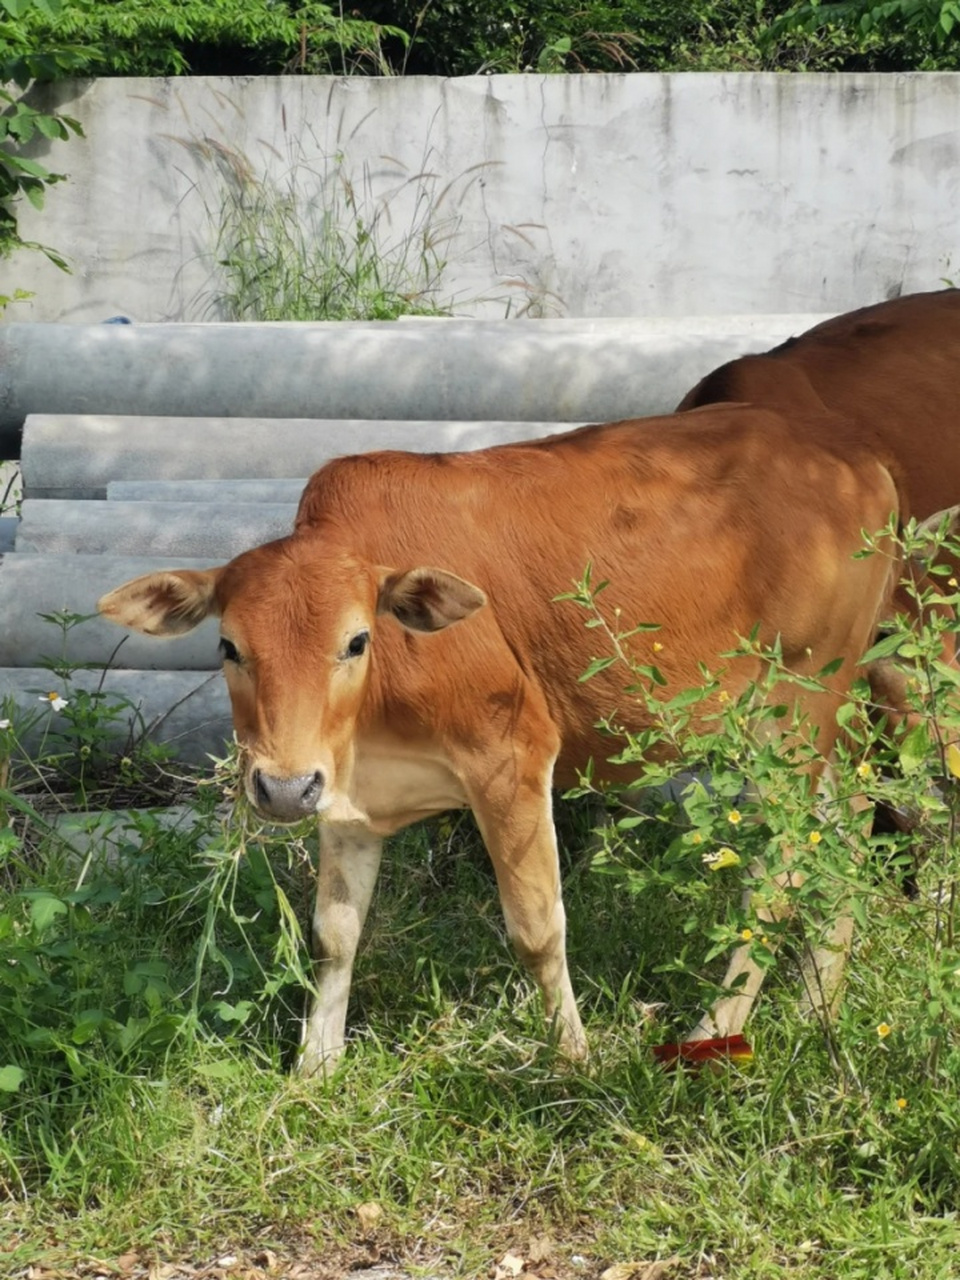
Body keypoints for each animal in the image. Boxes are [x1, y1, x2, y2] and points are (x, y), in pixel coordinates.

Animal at [99, 404, 911, 1075]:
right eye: (229, 646)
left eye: (356, 641)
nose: (281, 787)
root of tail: (854, 459)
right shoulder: (345, 795)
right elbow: (332, 934)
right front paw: (314, 1072)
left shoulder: (510, 757)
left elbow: (536, 928)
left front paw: (575, 1062)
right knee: (849, 830)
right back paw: (815, 1006)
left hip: (793, 713)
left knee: (779, 872)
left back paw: (713, 1032)